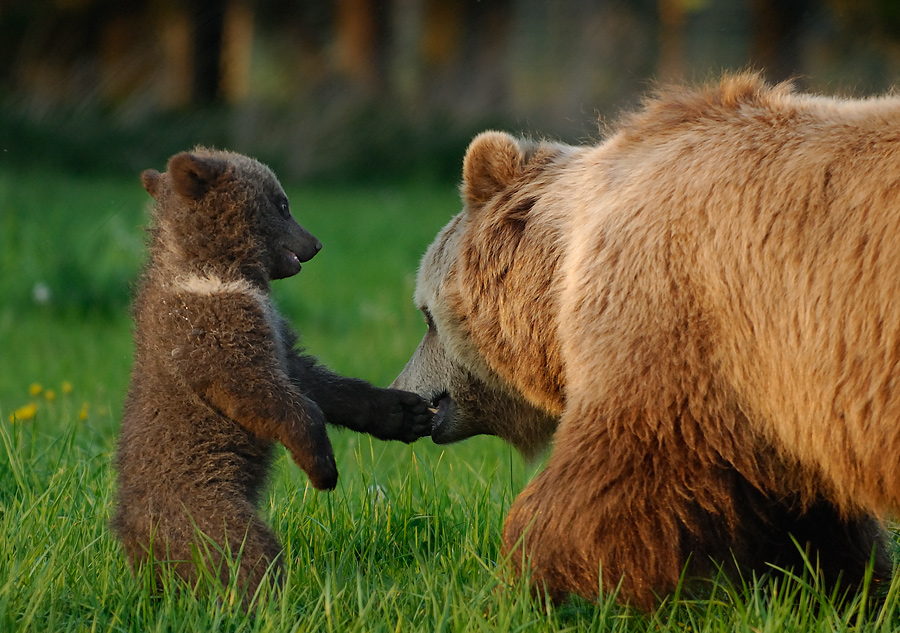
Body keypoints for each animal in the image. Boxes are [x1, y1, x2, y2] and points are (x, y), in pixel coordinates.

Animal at [394, 74, 900, 608]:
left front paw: (555, 579)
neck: (562, 273)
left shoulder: (672, 318)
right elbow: (804, 511)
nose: (407, 389)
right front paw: (832, 584)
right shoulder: (770, 393)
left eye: (425, 315)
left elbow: (620, 469)